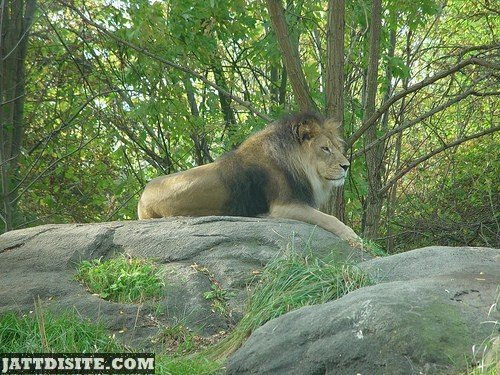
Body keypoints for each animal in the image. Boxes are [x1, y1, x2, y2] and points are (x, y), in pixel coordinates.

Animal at [138, 112, 360, 244]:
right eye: (325, 149)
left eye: (338, 148)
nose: (346, 166)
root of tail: (141, 197)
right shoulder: (284, 206)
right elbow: (330, 218)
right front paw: (354, 237)